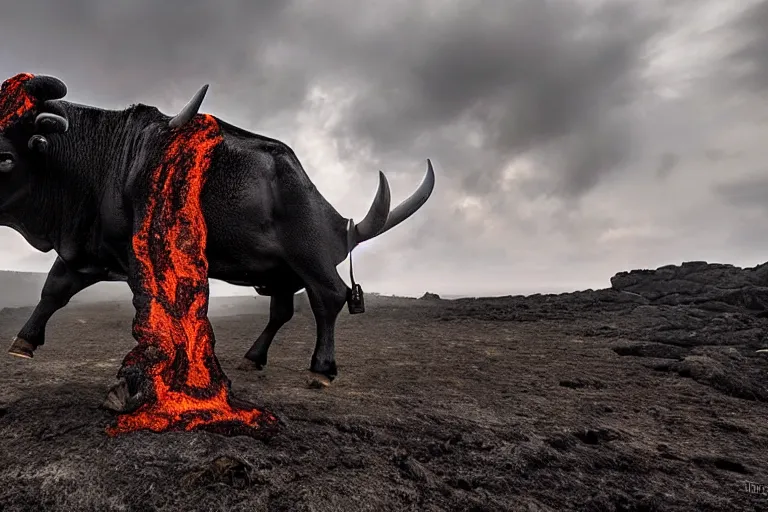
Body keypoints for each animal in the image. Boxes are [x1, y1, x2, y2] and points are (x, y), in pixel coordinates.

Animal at [0, 74, 436, 386]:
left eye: (5, 159)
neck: (104, 156)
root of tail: (335, 219)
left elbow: (146, 308)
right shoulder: (88, 245)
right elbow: (54, 288)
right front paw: (24, 341)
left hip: (309, 253)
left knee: (330, 295)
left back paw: (322, 368)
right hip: (280, 272)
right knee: (282, 309)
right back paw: (253, 358)